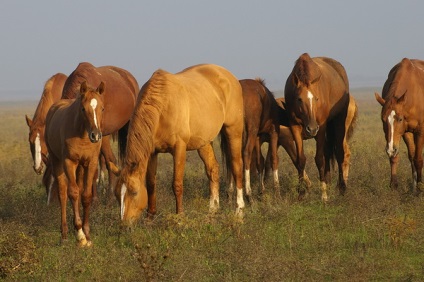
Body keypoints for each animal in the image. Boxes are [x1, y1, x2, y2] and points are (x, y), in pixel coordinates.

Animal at [45, 81, 105, 247]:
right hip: (57, 162)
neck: (82, 134)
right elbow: (72, 193)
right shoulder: (69, 162)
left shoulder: (90, 163)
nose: (96, 135)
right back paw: (65, 234)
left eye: (102, 108)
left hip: (80, 167)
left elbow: (86, 195)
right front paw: (80, 234)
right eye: (83, 108)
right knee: (63, 194)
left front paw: (87, 235)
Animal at [111, 64, 245, 227]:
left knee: (237, 167)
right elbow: (151, 184)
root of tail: (228, 76)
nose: (124, 225)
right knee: (213, 169)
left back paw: (239, 212)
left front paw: (180, 217)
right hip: (204, 142)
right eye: (116, 194)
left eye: (134, 192)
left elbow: (177, 184)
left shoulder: (179, 149)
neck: (163, 105)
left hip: (234, 131)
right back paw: (212, 212)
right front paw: (150, 217)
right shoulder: (152, 152)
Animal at [284, 53, 358, 202]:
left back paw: (341, 187)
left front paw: (324, 195)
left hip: (337, 122)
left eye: (316, 99)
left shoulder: (321, 127)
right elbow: (300, 160)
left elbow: (319, 159)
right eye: (299, 99)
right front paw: (301, 193)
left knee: (340, 153)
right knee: (328, 151)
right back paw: (329, 183)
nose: (311, 129)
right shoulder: (294, 127)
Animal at [374, 57, 424, 194]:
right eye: (383, 119)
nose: (390, 149)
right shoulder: (405, 132)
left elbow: (418, 159)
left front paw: (420, 188)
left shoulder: (420, 132)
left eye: (400, 119)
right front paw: (395, 185)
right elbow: (407, 157)